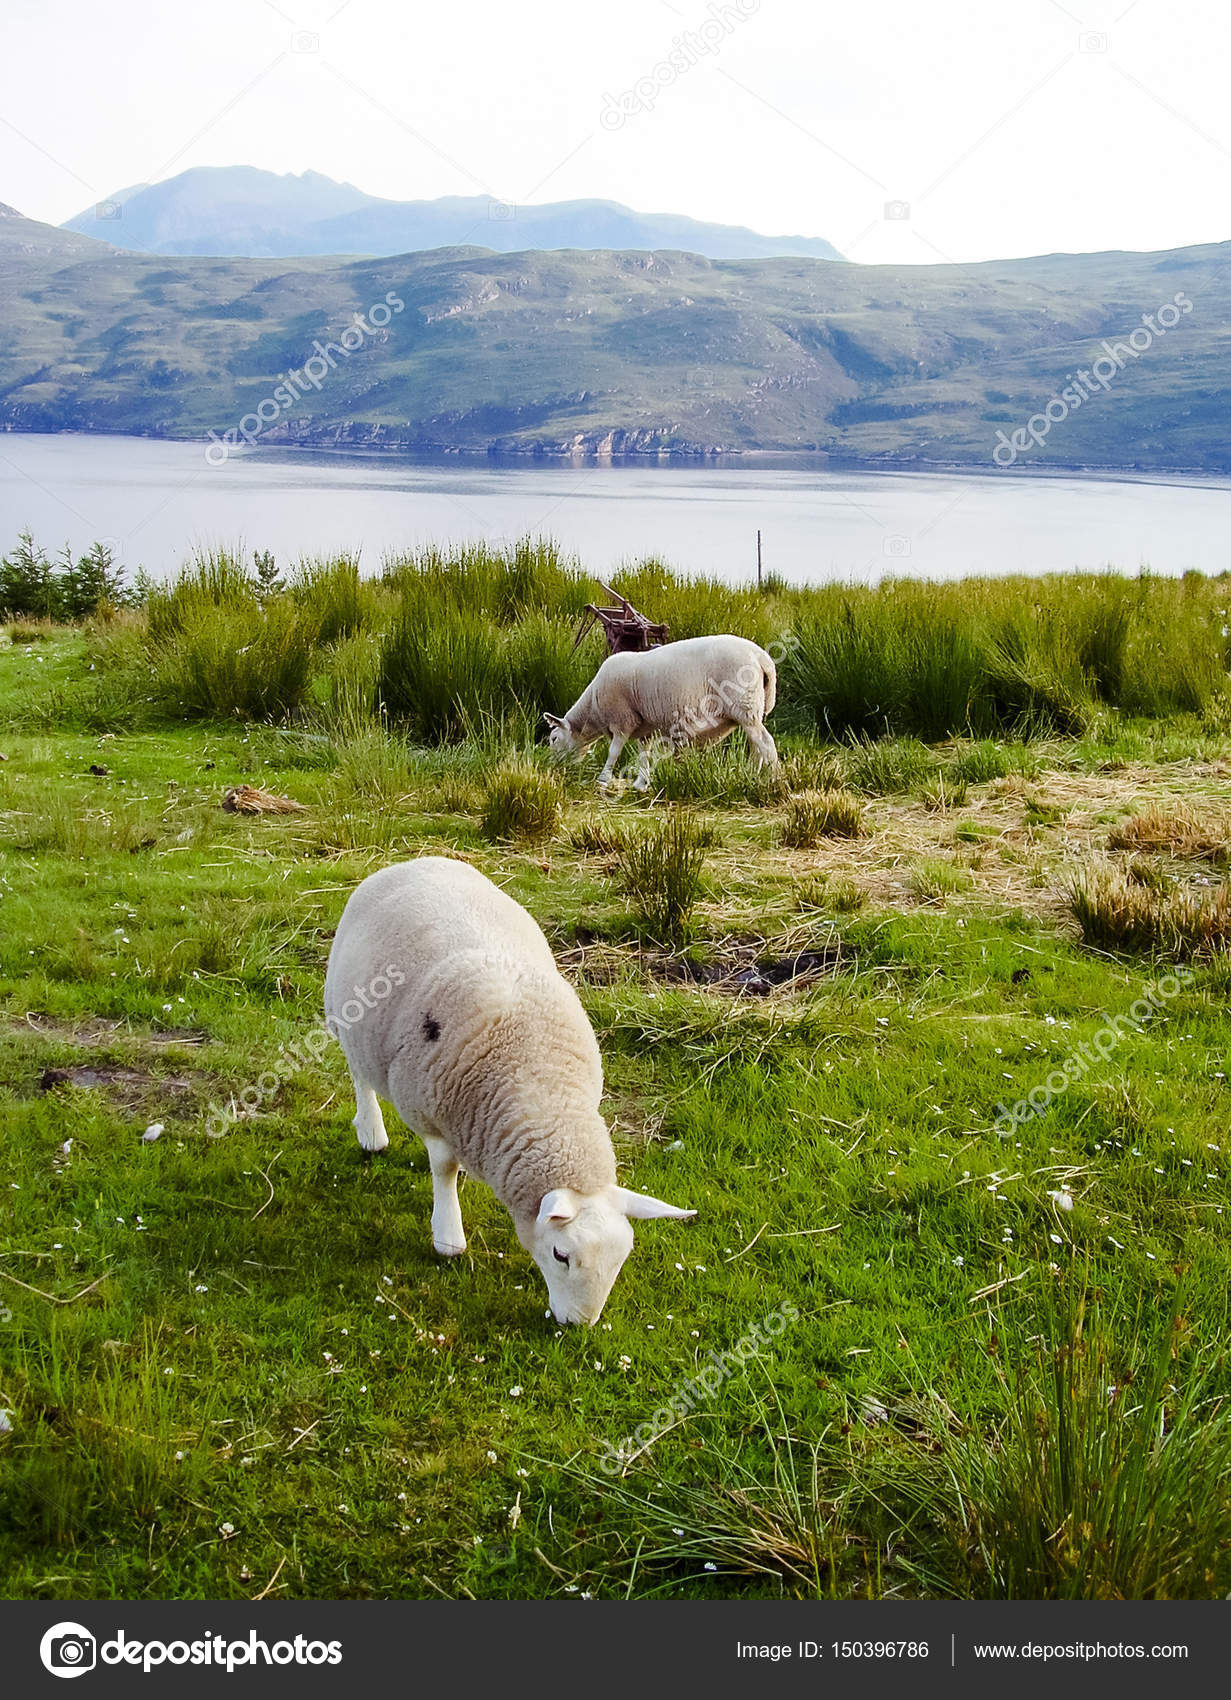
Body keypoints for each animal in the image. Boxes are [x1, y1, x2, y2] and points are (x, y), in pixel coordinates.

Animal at [324, 856, 693, 1325]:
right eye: (560, 1255)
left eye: (621, 1259)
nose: (578, 1325)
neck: (538, 1083)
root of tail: (417, 860)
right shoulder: (430, 1108)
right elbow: (443, 1169)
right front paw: (448, 1236)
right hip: (346, 1015)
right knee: (359, 1074)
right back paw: (371, 1132)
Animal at [544, 634, 779, 791]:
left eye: (554, 738)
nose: (553, 766)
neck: (593, 709)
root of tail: (762, 658)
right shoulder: (643, 726)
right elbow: (644, 755)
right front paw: (641, 783)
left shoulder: (623, 720)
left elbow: (613, 752)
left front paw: (603, 778)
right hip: (750, 711)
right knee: (756, 746)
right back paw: (752, 775)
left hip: (744, 705)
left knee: (766, 743)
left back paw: (774, 777)